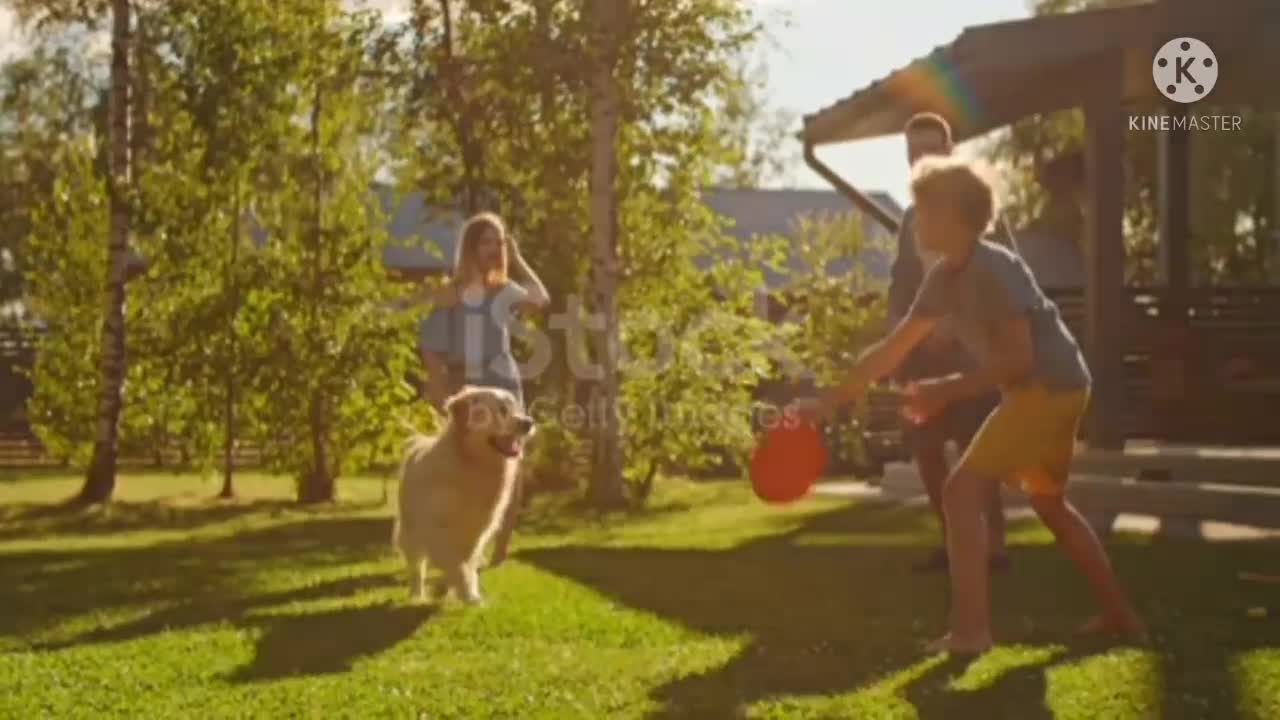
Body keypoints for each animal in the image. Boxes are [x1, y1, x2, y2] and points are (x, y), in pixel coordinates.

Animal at [389, 384, 529, 602]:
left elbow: (465, 563)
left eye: (517, 408)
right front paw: (468, 595)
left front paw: (463, 590)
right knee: (416, 566)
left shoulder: (477, 532)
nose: (529, 423)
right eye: (501, 410)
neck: (471, 464)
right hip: (409, 530)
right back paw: (417, 596)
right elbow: (455, 563)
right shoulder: (434, 528)